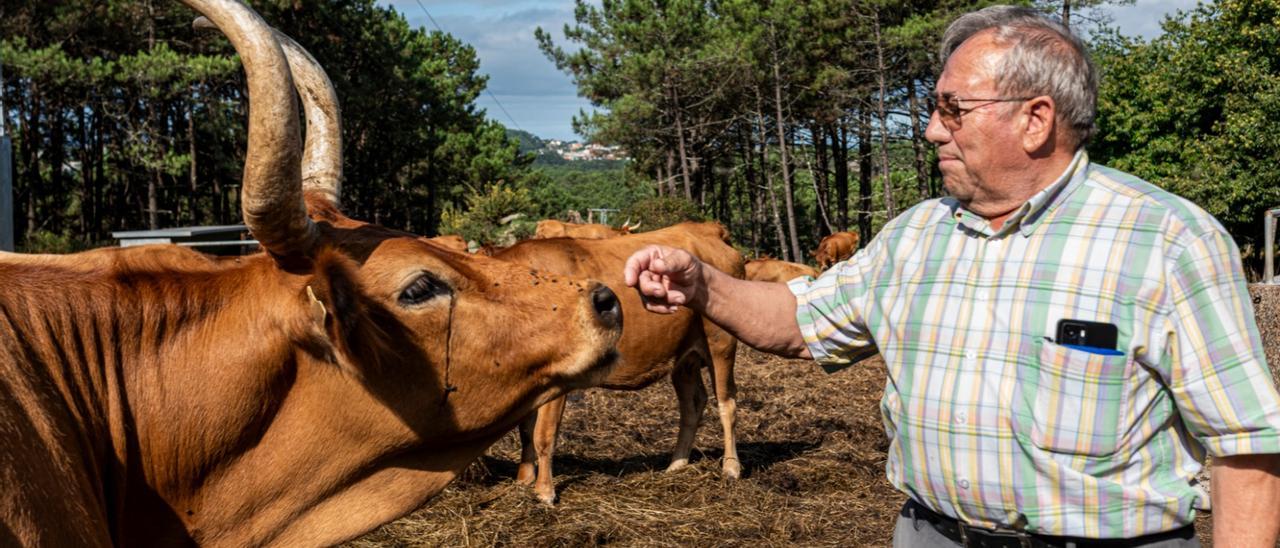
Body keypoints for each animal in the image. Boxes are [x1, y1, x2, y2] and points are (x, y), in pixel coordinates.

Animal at [494, 222, 747, 504]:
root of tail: (707, 229)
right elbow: (525, 431)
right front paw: (523, 480)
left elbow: (543, 434)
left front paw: (545, 491)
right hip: (685, 356)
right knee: (692, 403)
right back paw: (676, 464)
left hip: (721, 342)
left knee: (727, 403)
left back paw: (730, 467)